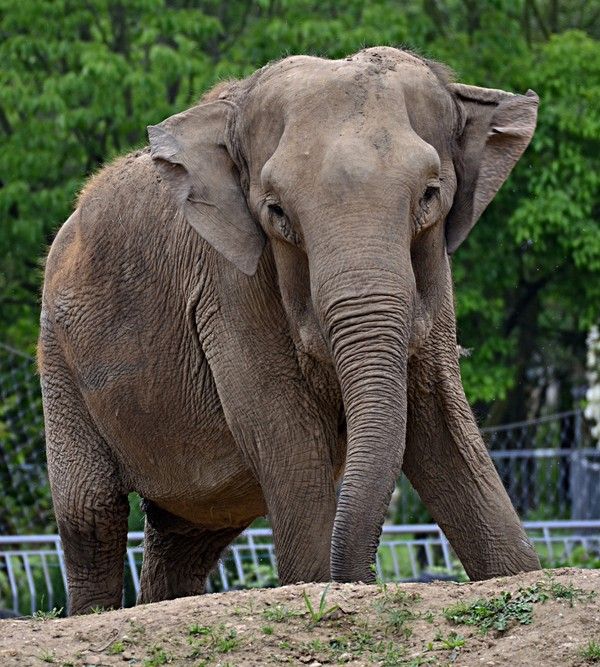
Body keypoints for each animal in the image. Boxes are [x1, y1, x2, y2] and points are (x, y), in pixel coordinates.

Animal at [38, 46, 541, 615]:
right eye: (276, 211)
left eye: (430, 196)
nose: (362, 581)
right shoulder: (227, 284)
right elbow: (289, 436)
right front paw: (318, 583)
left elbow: (443, 427)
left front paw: (518, 571)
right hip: (57, 357)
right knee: (91, 512)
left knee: (185, 535)